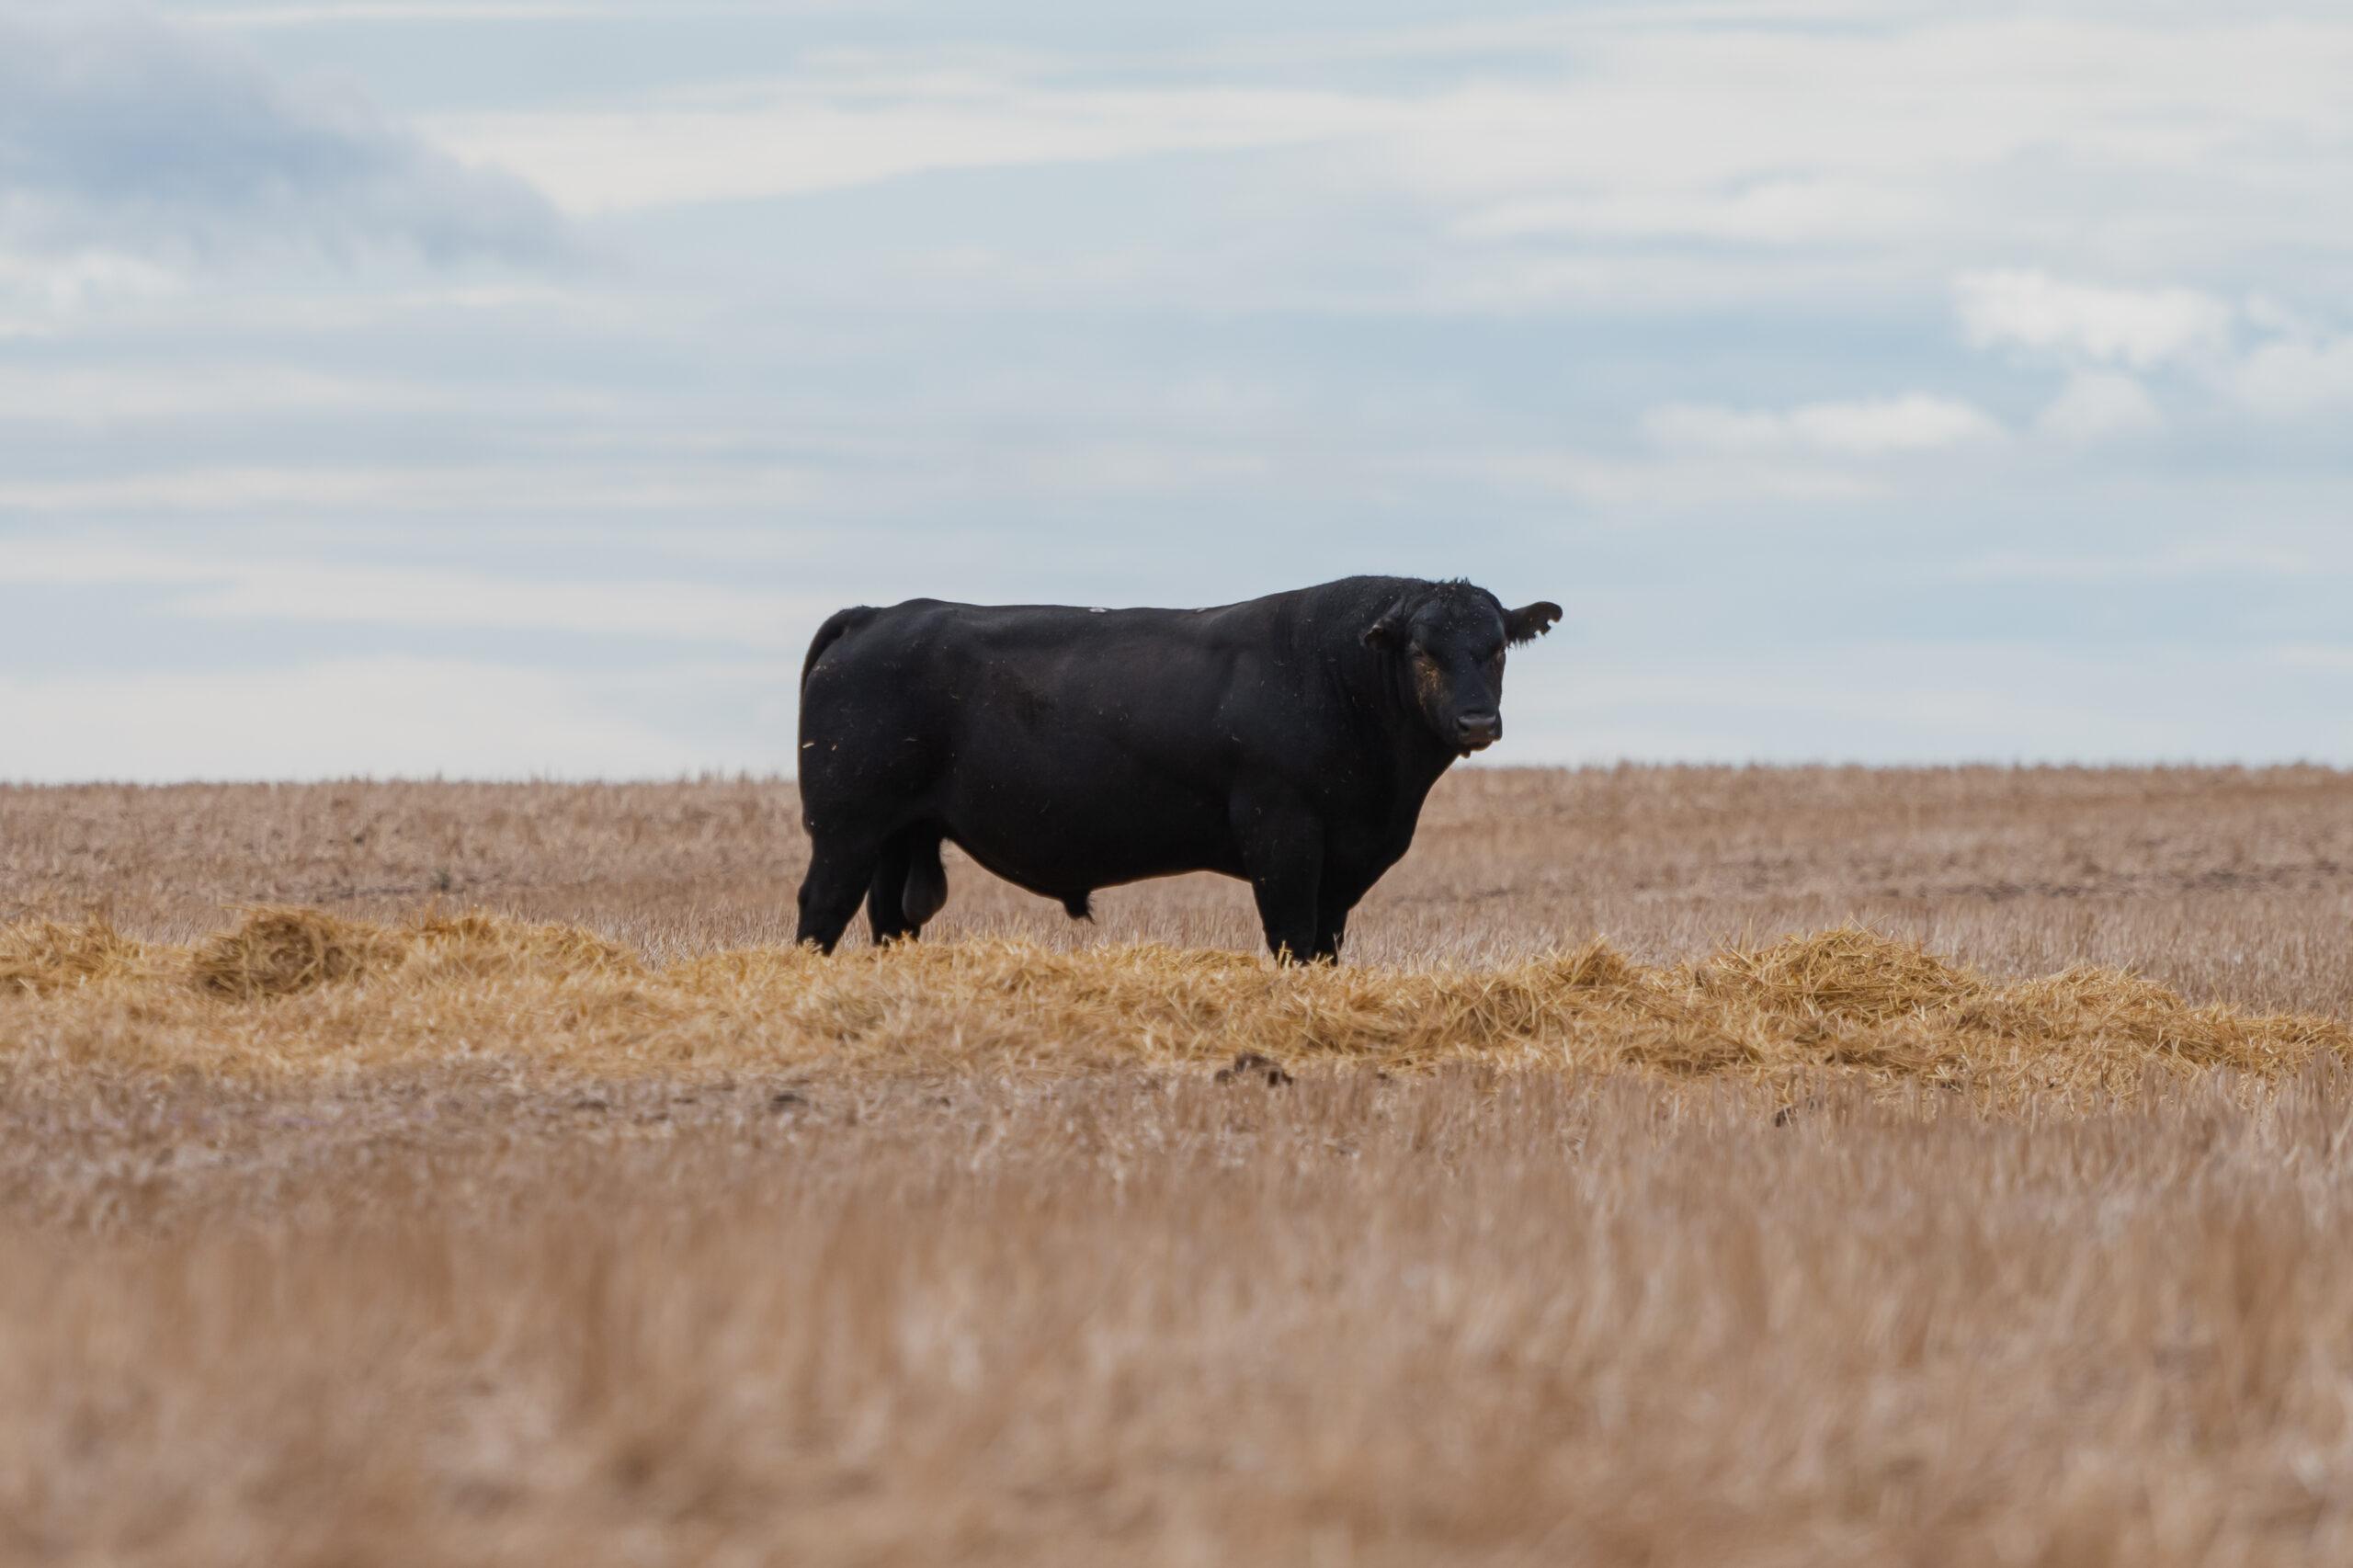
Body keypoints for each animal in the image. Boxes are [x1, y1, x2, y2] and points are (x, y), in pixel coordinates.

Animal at [792, 575, 1562, 962]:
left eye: (1497, 648)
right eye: (1423, 652)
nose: (1477, 722)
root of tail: (878, 612)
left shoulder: (1342, 863)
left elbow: (1325, 944)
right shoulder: (1283, 834)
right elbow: (1292, 935)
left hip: (900, 834)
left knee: (891, 919)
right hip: (846, 827)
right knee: (821, 910)